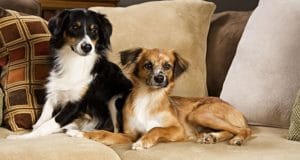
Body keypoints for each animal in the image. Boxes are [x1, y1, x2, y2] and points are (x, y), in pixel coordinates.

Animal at [6, 8, 131, 139]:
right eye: (74, 27)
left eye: (94, 30)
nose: (87, 47)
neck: (75, 60)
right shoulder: (54, 91)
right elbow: (42, 119)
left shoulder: (75, 105)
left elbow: (47, 125)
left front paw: (20, 138)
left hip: (115, 100)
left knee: (120, 134)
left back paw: (78, 133)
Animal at [68, 47, 251, 150]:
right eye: (148, 65)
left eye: (167, 66)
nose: (159, 78)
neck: (148, 98)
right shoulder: (128, 135)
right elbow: (104, 133)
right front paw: (81, 134)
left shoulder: (177, 129)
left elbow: (155, 129)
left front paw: (143, 142)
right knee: (232, 129)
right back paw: (211, 137)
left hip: (199, 114)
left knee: (244, 130)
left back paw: (236, 139)